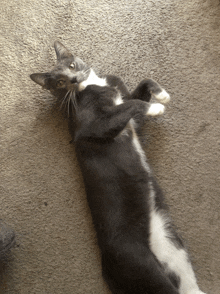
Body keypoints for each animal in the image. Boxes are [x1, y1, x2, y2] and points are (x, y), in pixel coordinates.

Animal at [30, 41, 207, 294]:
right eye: (60, 82)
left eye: (72, 65)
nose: (74, 79)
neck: (94, 85)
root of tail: (107, 270)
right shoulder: (96, 125)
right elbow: (133, 104)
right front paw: (156, 107)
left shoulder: (132, 117)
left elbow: (142, 84)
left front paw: (162, 95)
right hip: (141, 266)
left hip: (176, 249)